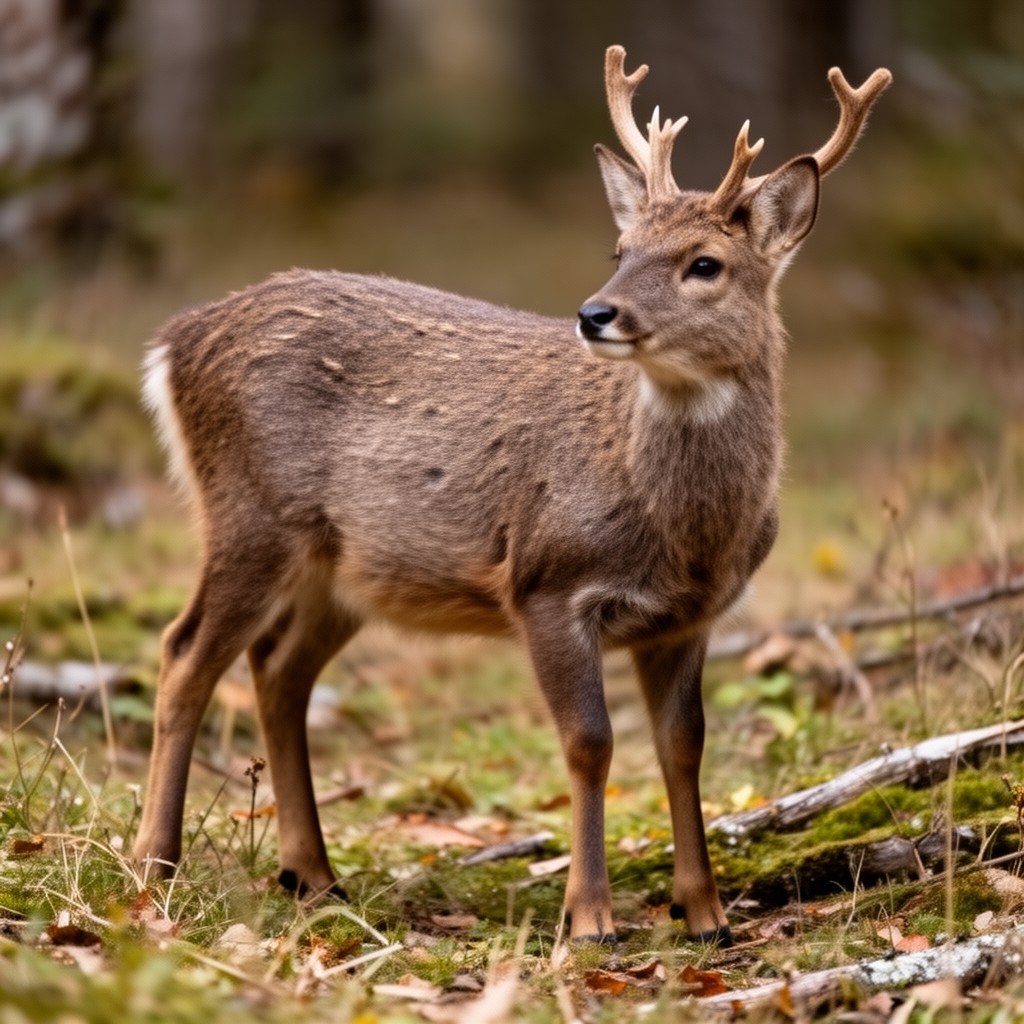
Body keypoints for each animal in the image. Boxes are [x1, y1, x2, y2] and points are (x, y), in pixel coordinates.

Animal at [134, 45, 891, 945]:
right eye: (619, 247)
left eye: (704, 263)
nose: (596, 313)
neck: (686, 531)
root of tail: (173, 342)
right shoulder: (547, 582)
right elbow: (590, 742)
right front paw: (591, 918)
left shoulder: (690, 617)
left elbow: (684, 745)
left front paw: (704, 912)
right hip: (250, 514)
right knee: (183, 653)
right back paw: (154, 866)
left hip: (342, 570)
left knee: (278, 670)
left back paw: (312, 874)